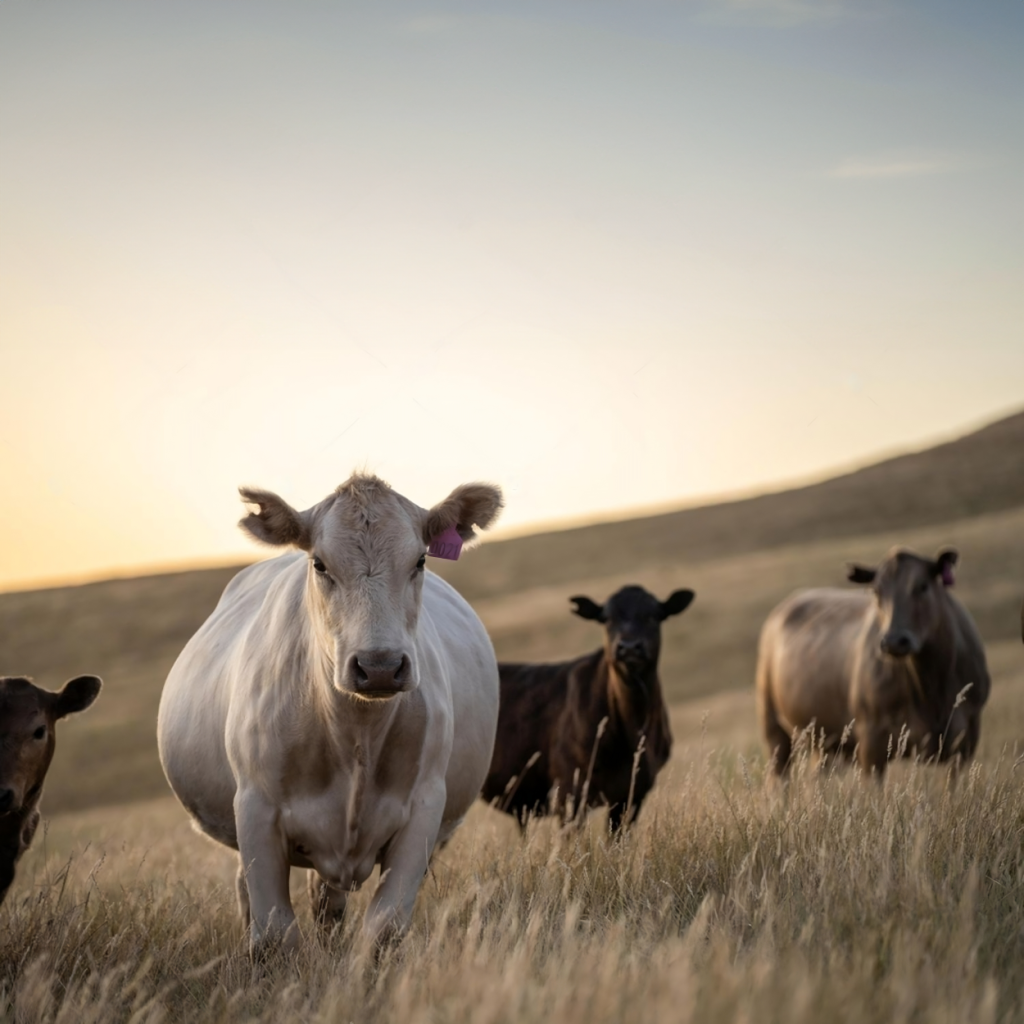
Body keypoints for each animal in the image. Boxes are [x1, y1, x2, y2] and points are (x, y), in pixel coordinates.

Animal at [157, 474, 503, 959]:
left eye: (420, 560)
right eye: (320, 564)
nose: (379, 665)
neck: (353, 731)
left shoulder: (425, 808)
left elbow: (385, 928)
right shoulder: (255, 808)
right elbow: (274, 934)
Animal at [481, 585, 694, 831]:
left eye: (653, 615)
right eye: (607, 619)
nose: (629, 647)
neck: (633, 726)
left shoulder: (633, 794)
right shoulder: (569, 790)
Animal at [757, 547, 989, 778]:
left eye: (922, 586)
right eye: (876, 592)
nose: (894, 641)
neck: (931, 687)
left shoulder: (965, 742)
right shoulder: (872, 741)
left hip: (824, 740)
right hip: (773, 724)